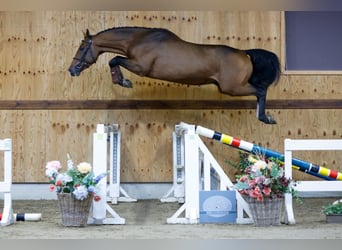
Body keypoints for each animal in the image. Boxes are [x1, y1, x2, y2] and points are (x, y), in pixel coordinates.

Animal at [67, 26, 280, 124]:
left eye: (82, 47)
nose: (72, 70)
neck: (138, 39)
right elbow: (115, 59)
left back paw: (265, 118)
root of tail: (245, 53)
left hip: (232, 88)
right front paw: (121, 80)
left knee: (261, 91)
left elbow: (114, 59)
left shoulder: (141, 67)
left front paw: (123, 81)